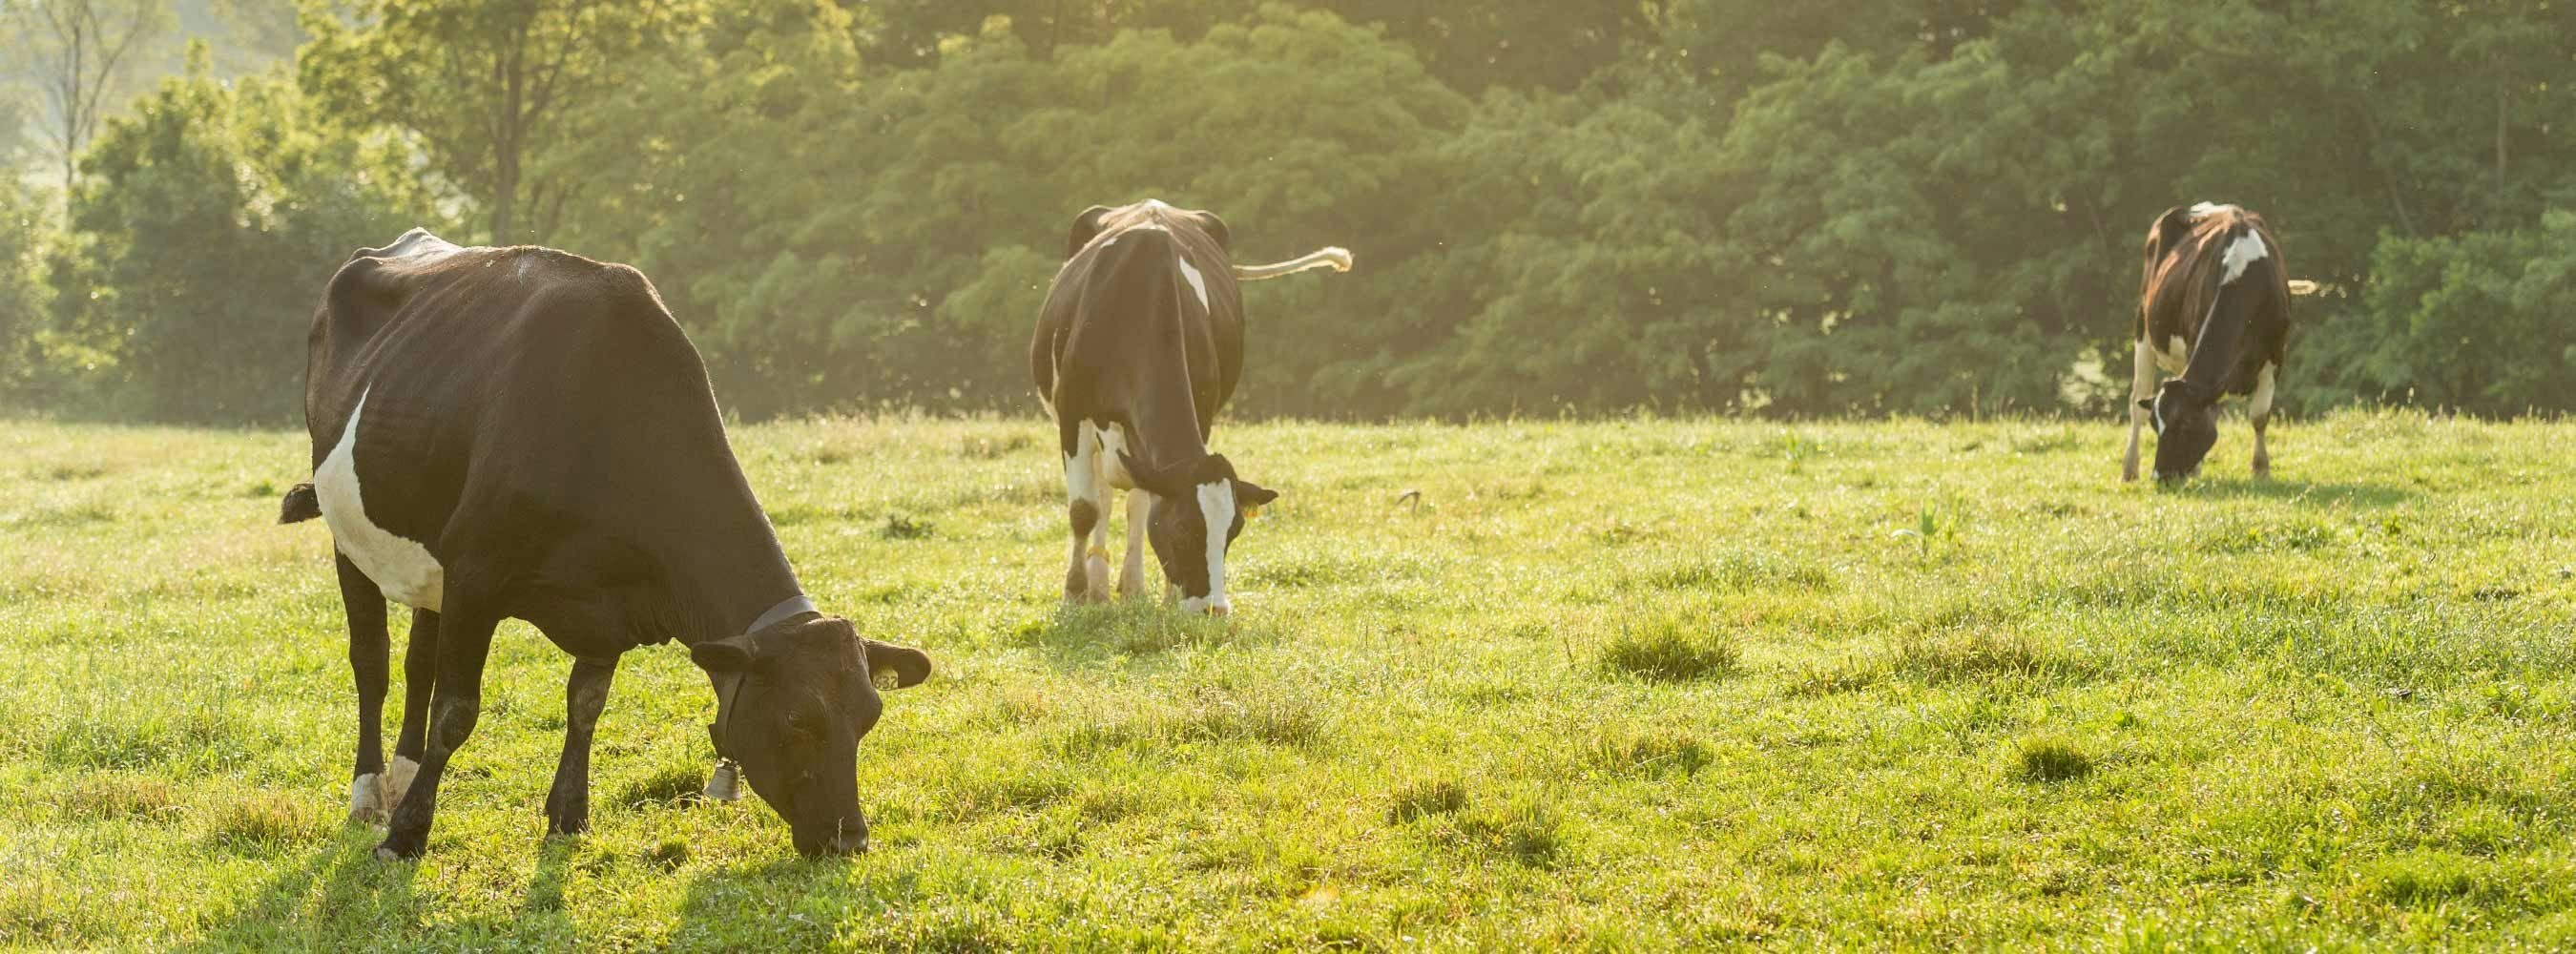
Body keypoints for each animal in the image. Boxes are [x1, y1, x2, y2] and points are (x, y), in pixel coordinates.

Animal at [284, 229, 927, 856]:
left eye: (869, 716)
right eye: (797, 717)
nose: (850, 839)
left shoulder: (609, 604)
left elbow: (586, 704)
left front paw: (568, 815)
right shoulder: (475, 574)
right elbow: (456, 711)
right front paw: (407, 833)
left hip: (426, 560)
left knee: (418, 663)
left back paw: (401, 774)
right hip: (349, 534)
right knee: (373, 663)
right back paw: (369, 793)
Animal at [1025, 202, 1349, 618]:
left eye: (1233, 531)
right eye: (1183, 529)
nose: (1214, 608)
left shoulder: (1199, 414)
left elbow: (1143, 506)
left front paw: (1165, 596)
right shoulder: (1071, 415)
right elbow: (1083, 510)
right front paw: (1074, 594)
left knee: (1131, 502)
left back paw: (1130, 586)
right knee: (1104, 498)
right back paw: (1096, 586)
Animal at [2122, 202, 2308, 485]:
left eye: (2185, 424)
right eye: (2157, 426)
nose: (2160, 476)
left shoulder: (2276, 354)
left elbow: (2259, 416)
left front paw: (2261, 469)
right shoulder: (2192, 344)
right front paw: (2197, 470)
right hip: (2143, 329)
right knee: (2137, 402)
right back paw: (2129, 469)